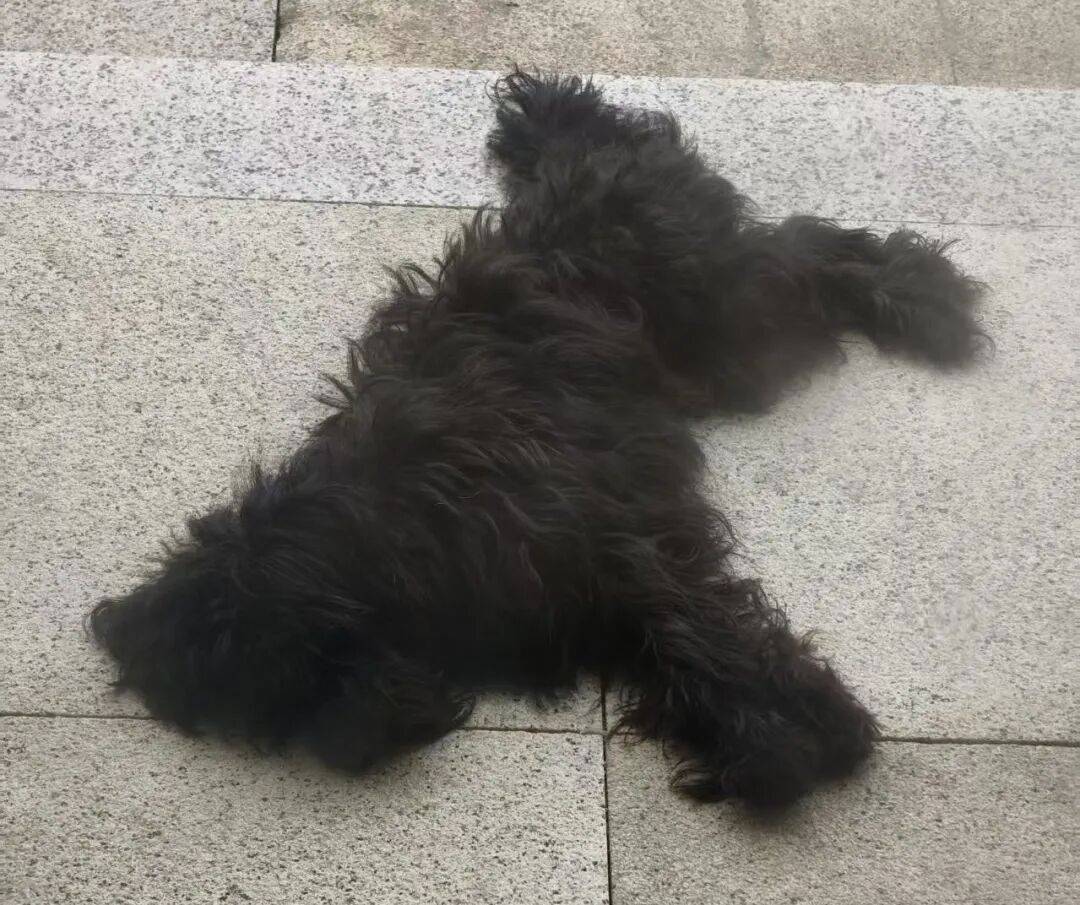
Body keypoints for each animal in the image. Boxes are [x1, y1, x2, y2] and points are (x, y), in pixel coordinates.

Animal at [88, 70, 985, 808]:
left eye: (297, 682)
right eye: (259, 720)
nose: (355, 750)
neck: (379, 528)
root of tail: (588, 155)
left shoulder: (616, 544)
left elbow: (694, 625)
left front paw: (790, 738)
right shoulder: (579, 595)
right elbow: (661, 648)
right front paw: (749, 737)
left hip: (731, 320)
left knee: (809, 247)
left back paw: (928, 299)